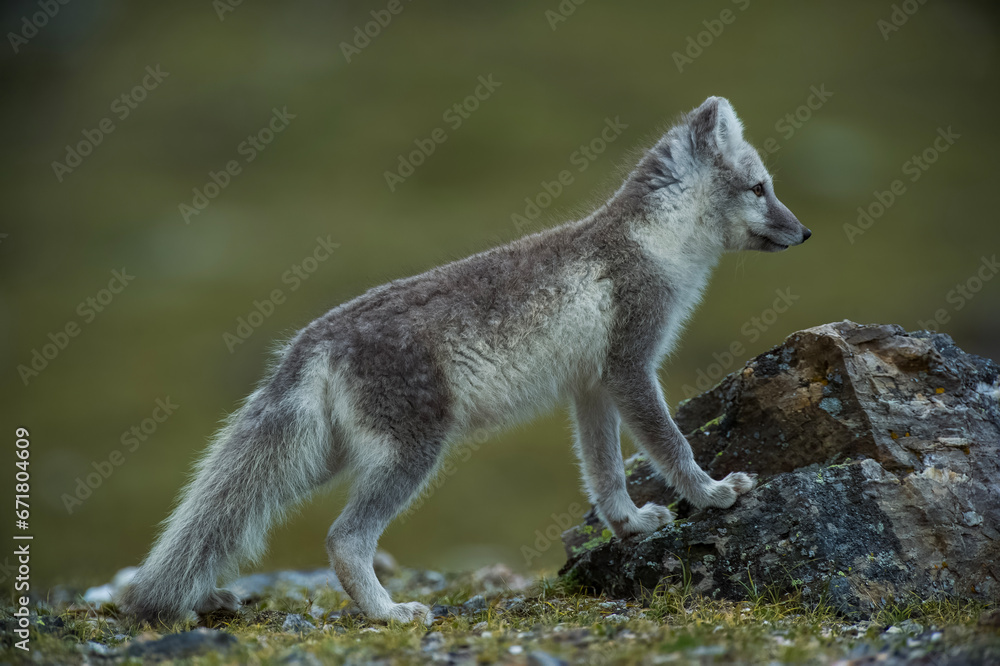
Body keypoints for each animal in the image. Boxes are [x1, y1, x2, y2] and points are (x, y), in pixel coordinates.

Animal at [118, 96, 811, 625]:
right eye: (760, 188)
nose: (804, 233)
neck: (657, 244)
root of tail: (312, 341)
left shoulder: (590, 387)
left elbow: (605, 471)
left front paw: (630, 525)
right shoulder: (630, 368)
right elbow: (672, 445)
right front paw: (714, 494)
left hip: (321, 458)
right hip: (411, 451)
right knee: (345, 539)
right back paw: (388, 614)